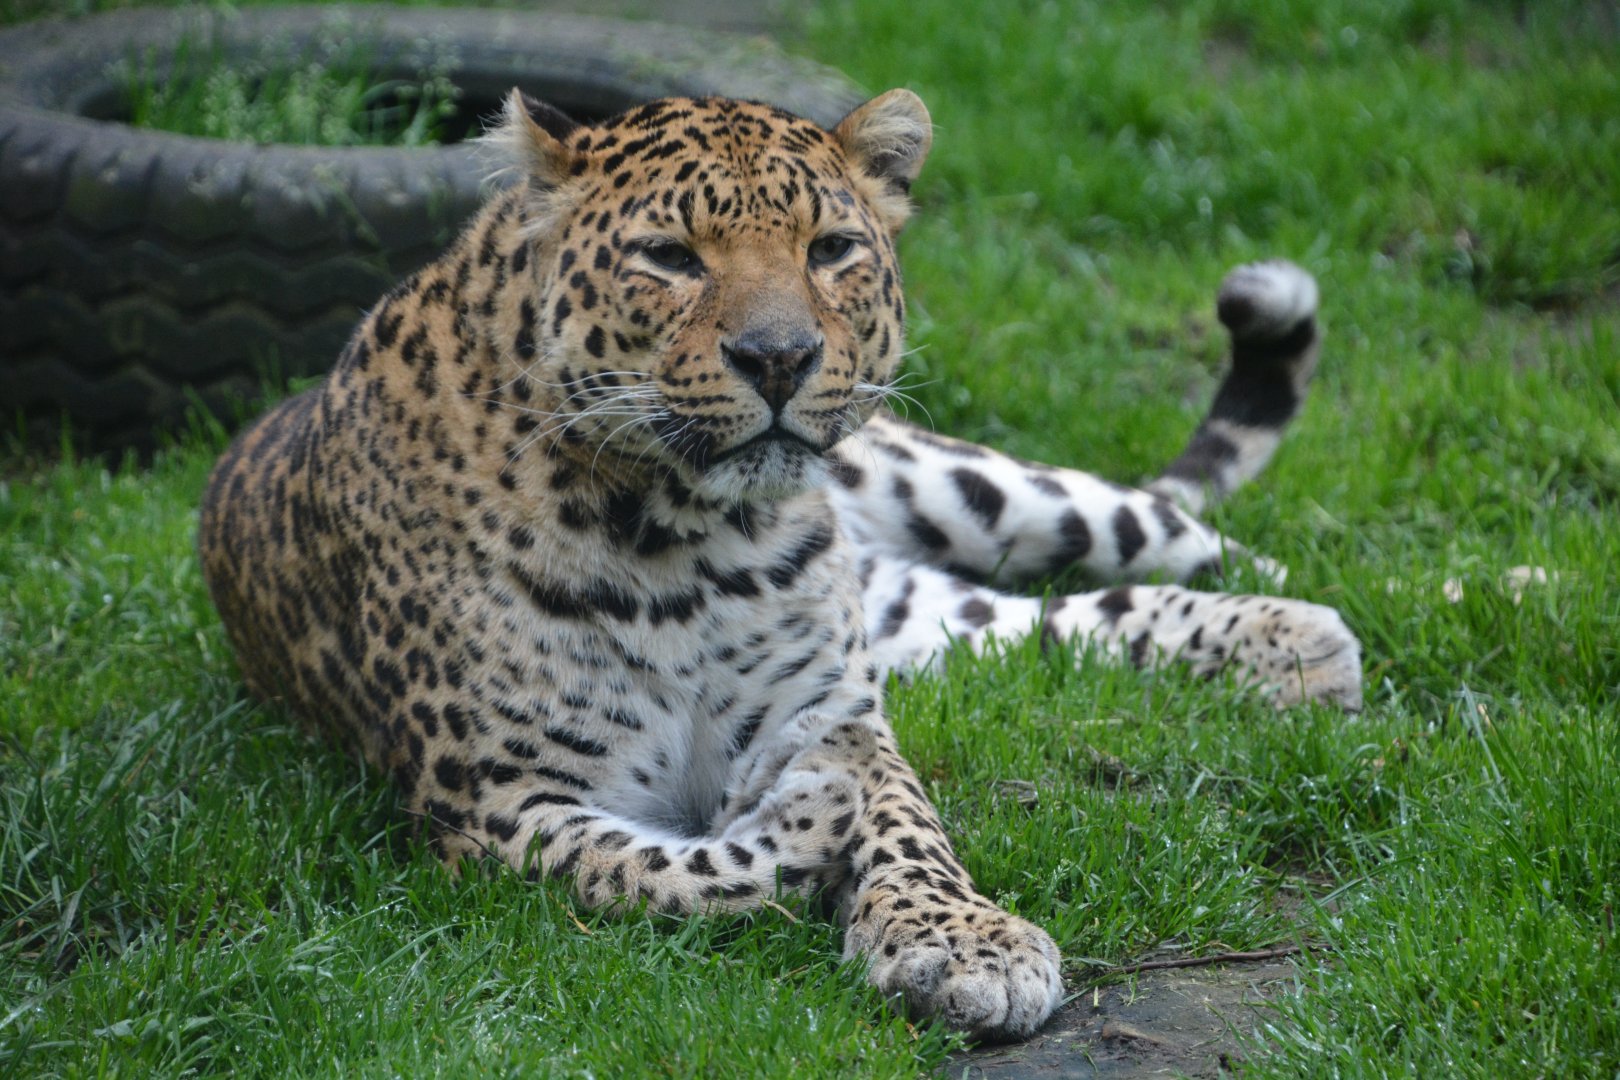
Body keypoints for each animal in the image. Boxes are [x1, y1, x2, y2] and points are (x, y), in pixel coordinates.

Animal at [198, 87, 1362, 1041]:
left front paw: (963, 940)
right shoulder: (496, 807)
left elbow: (910, 827)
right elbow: (656, 872)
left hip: (975, 490)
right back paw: (1298, 650)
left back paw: (1321, 625)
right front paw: (810, 817)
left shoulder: (833, 709)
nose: (779, 358)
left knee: (1169, 527)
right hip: (930, 628)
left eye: (832, 247)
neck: (688, 541)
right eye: (670, 256)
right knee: (1058, 620)